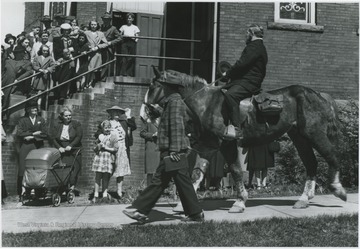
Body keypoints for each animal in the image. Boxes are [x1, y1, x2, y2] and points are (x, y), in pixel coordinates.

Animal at [145, 67, 348, 213]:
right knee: (312, 163)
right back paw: (304, 199)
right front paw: (183, 205)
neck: (206, 103)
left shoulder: (227, 144)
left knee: (332, 156)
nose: (146, 112)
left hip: (314, 134)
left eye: (153, 86)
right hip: (300, 137)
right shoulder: (208, 148)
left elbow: (235, 170)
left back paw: (338, 189)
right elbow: (197, 174)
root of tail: (319, 94)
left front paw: (240, 202)